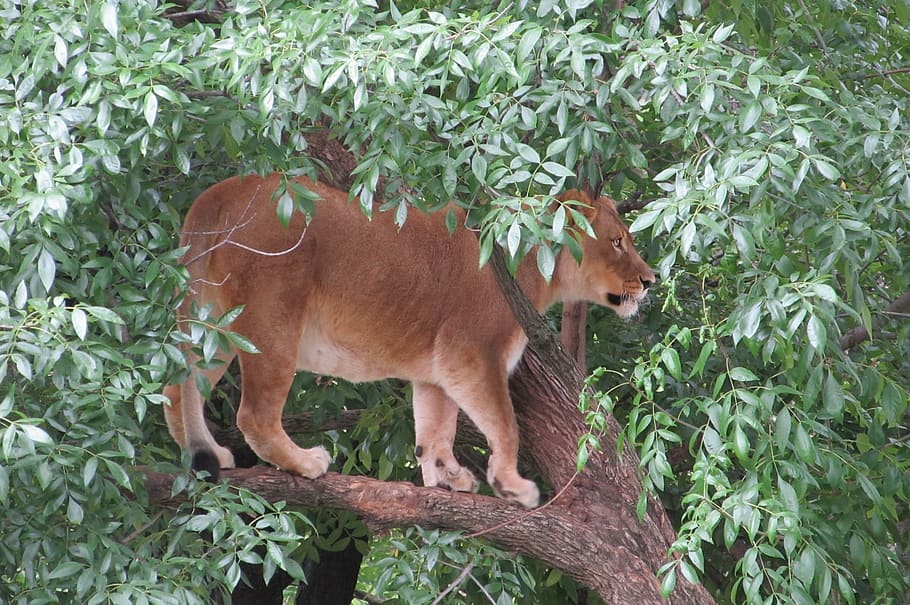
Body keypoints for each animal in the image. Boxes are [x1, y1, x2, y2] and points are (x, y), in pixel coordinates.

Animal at [163, 174, 655, 508]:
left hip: (216, 325)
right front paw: (512, 486)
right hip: (274, 321)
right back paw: (305, 463)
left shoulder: (440, 369)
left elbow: (436, 430)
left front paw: (448, 478)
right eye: (617, 241)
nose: (651, 280)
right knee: (254, 414)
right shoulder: (474, 353)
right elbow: (505, 424)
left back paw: (204, 453)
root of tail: (218, 195)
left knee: (177, 387)